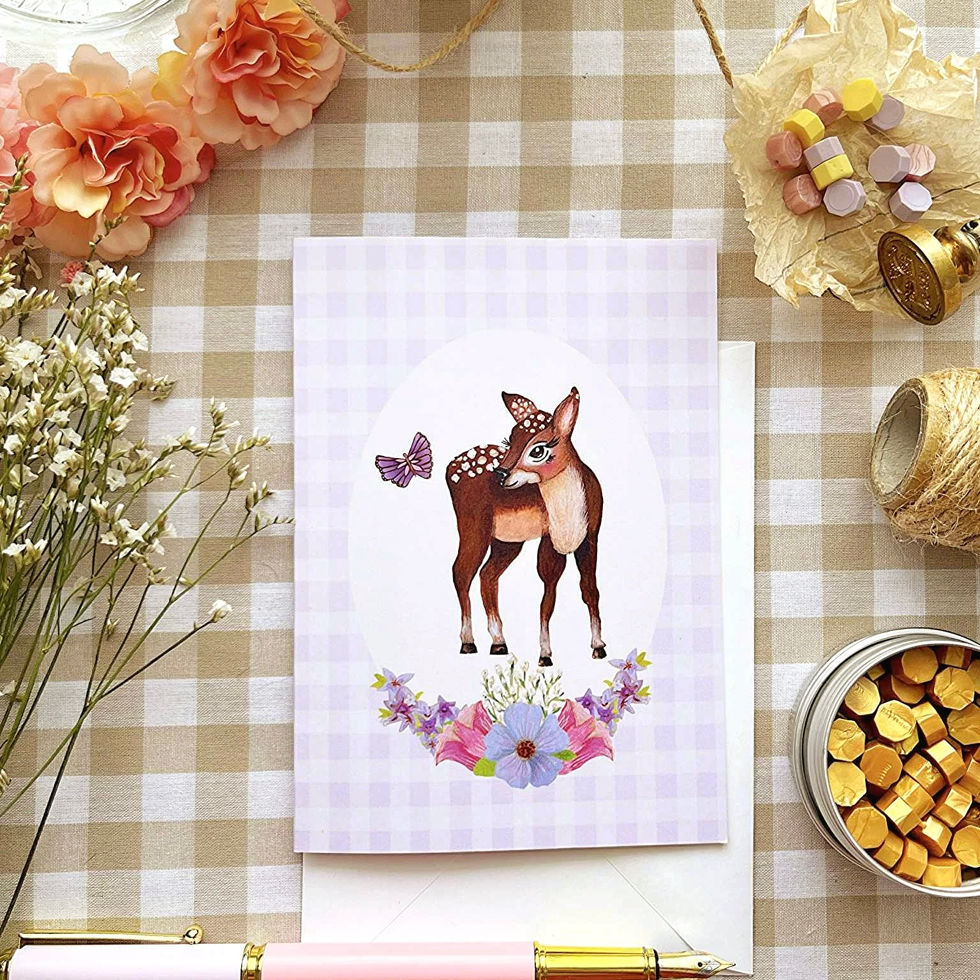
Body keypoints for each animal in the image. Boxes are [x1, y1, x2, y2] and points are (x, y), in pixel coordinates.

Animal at [445, 387, 605, 668]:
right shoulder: (550, 537)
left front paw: (598, 647)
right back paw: (468, 642)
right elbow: (549, 595)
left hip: (507, 540)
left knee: (487, 574)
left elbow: (589, 589)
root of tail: (448, 469)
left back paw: (498, 643)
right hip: (472, 523)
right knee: (461, 571)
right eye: (510, 439)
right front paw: (545, 655)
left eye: (538, 450)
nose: (500, 474)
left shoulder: (590, 536)